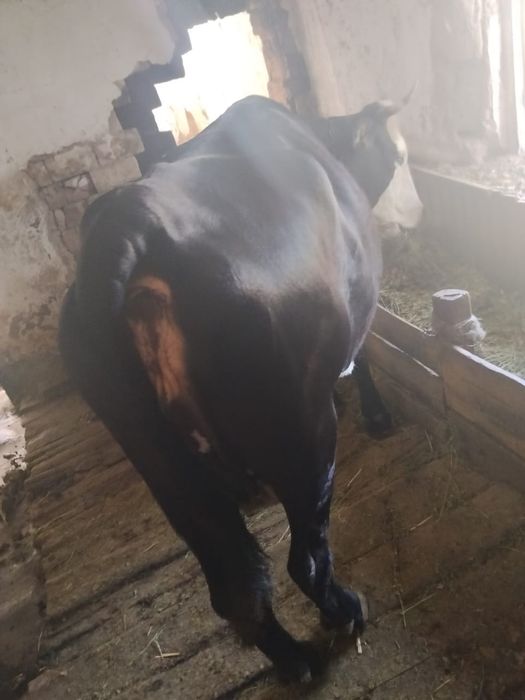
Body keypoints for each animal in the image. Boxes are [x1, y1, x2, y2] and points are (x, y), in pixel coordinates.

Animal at [59, 95, 407, 682]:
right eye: (396, 154)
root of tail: (129, 223)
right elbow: (365, 350)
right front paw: (378, 415)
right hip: (300, 435)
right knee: (305, 559)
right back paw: (344, 613)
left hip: (170, 475)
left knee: (235, 591)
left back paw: (294, 662)